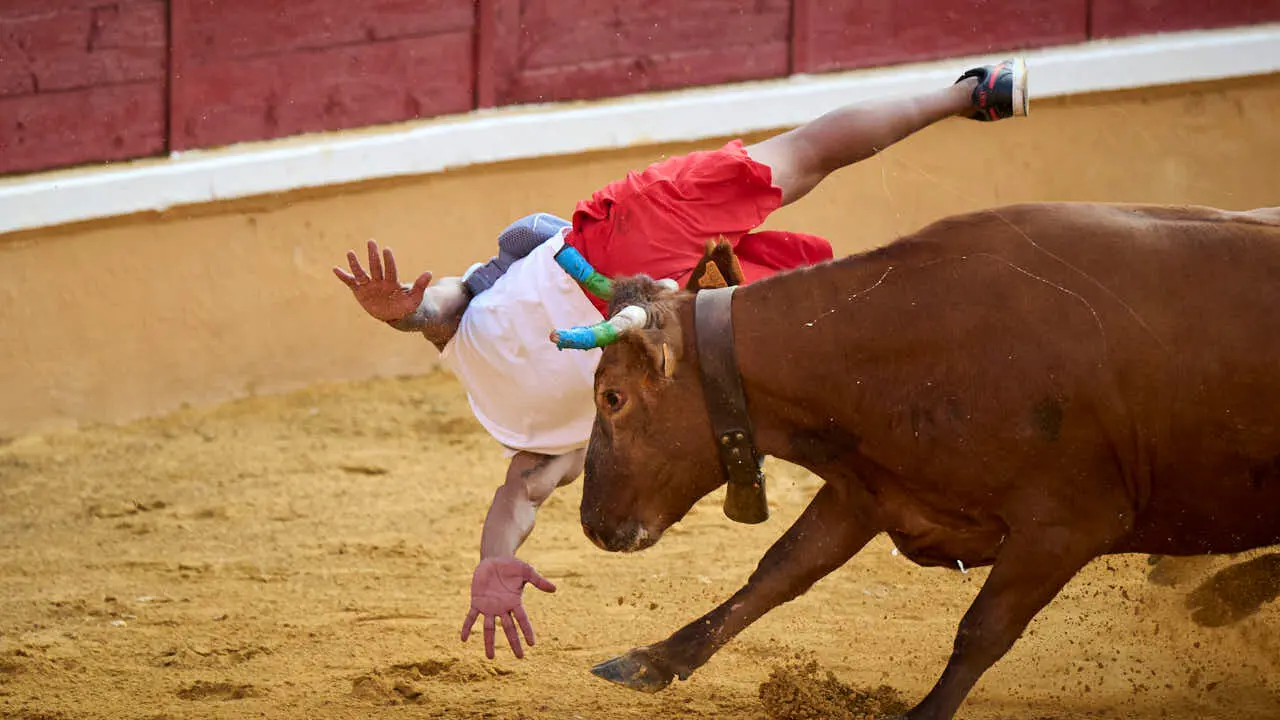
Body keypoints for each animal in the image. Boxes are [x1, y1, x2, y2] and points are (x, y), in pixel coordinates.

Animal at [550, 202, 1280, 719]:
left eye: (611, 397)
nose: (593, 524)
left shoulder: (1066, 526)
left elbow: (984, 629)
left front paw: (924, 712)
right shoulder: (868, 490)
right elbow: (778, 572)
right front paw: (652, 660)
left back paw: (1215, 595)